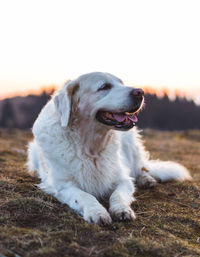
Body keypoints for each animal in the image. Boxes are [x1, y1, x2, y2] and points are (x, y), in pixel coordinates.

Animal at [26, 72, 191, 224]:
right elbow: (84, 196)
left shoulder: (123, 179)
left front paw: (121, 209)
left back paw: (146, 179)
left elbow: (118, 194)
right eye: (104, 87)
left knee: (140, 168)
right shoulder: (62, 185)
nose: (140, 92)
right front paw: (97, 212)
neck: (91, 146)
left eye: (121, 83)